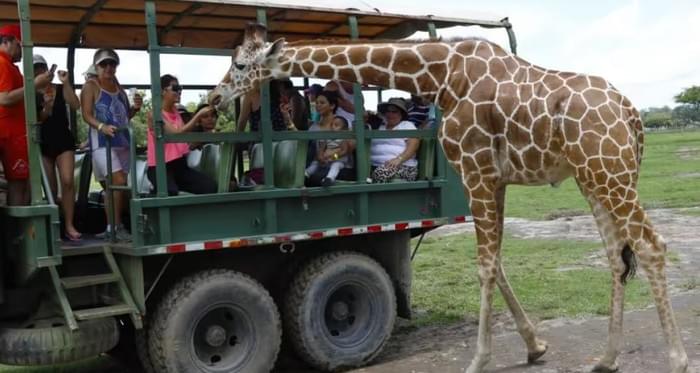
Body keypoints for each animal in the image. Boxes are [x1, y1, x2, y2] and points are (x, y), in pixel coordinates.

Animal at [208, 24, 688, 372]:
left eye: (240, 64)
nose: (214, 96)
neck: (440, 76)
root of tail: (632, 114)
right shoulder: (495, 178)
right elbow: (496, 262)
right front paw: (535, 346)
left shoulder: (475, 170)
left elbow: (485, 266)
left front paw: (478, 360)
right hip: (594, 176)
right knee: (615, 254)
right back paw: (606, 359)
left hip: (610, 170)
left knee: (651, 245)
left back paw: (677, 359)